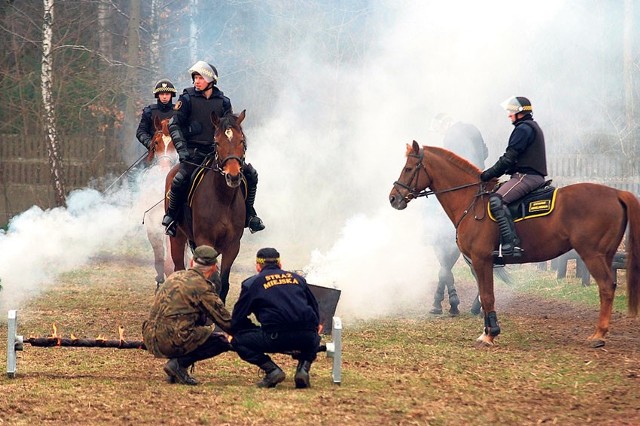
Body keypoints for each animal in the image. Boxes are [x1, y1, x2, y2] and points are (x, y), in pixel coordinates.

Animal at [164, 110, 246, 302]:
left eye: (241, 140)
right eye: (217, 142)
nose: (233, 176)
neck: (223, 200)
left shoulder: (232, 246)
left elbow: (223, 283)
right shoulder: (205, 241)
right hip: (177, 237)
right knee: (178, 268)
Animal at [390, 141, 640, 348]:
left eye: (409, 168)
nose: (393, 198)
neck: (471, 201)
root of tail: (617, 192)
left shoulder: (481, 259)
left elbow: (487, 295)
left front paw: (490, 334)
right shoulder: (480, 262)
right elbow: (484, 294)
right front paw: (486, 329)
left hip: (592, 255)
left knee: (606, 287)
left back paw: (599, 335)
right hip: (604, 255)